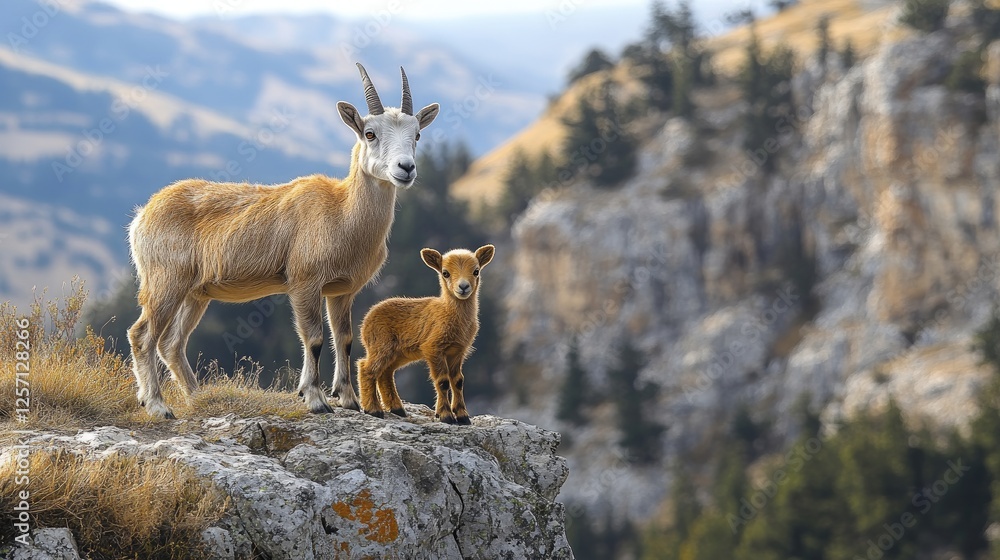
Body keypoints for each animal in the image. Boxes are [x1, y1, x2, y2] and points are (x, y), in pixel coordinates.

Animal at [127, 64, 439, 419]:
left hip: (195, 292)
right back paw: (157, 405)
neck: (342, 214)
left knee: (172, 343)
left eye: (417, 134)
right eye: (370, 133)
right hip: (166, 280)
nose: (406, 168)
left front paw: (349, 400)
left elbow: (344, 338)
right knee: (143, 335)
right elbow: (313, 337)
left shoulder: (342, 290)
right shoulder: (304, 282)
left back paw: (197, 397)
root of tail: (142, 217)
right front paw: (315, 399)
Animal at [356, 244, 495, 424]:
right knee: (366, 368)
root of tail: (365, 321)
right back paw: (373, 409)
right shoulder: (433, 348)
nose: (463, 287)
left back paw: (397, 409)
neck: (448, 313)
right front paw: (446, 415)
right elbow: (443, 381)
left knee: (385, 373)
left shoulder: (458, 351)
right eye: (445, 273)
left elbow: (458, 381)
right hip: (381, 345)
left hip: (399, 354)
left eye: (476, 271)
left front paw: (463, 416)